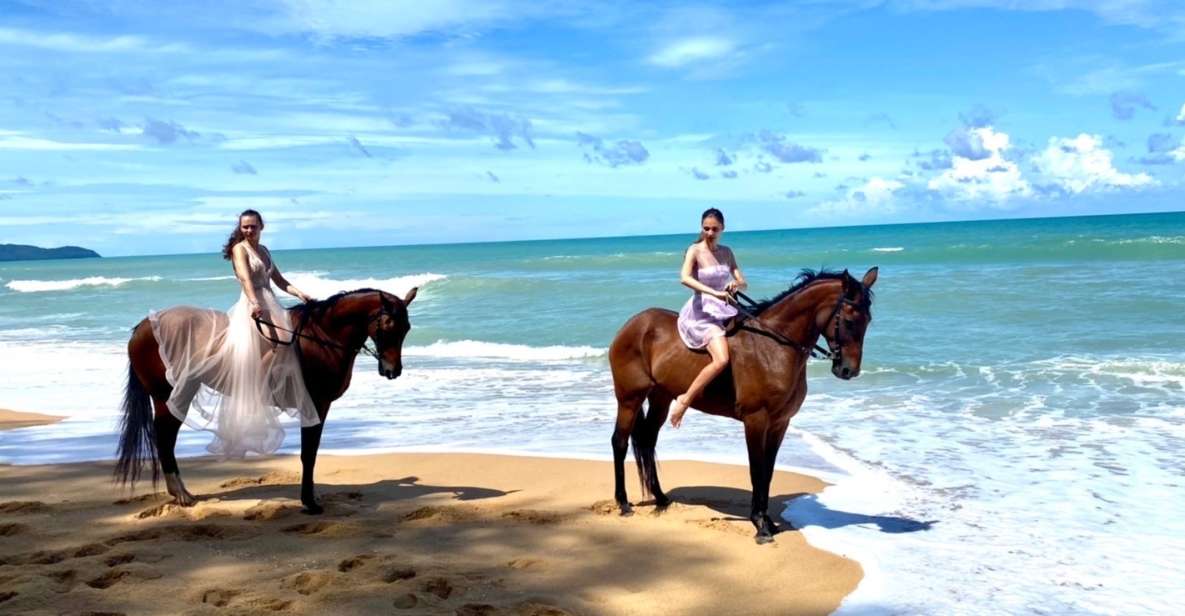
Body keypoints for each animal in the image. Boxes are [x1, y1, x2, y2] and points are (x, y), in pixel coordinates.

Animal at [111, 289, 417, 514]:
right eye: (389, 325)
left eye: (407, 328)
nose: (393, 370)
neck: (321, 336)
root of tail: (143, 326)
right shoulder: (316, 405)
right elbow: (309, 453)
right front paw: (309, 502)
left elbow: (311, 452)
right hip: (171, 396)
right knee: (165, 438)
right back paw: (182, 495)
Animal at [606, 270, 876, 544]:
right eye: (850, 320)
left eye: (868, 320)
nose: (848, 370)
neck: (773, 347)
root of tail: (633, 324)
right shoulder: (756, 420)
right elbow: (756, 469)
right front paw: (760, 525)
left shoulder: (780, 423)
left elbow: (768, 470)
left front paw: (768, 521)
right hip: (629, 398)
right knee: (620, 441)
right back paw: (623, 503)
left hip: (661, 398)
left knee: (648, 441)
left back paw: (661, 498)